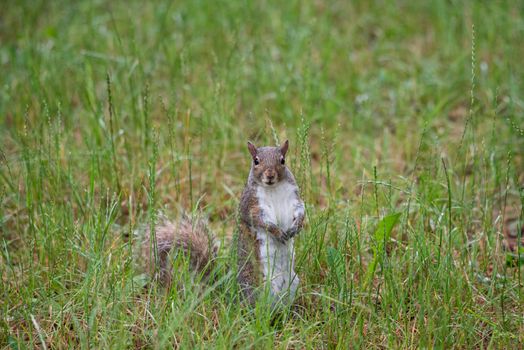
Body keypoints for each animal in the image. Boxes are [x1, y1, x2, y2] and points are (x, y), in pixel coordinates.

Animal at [139, 139, 304, 304]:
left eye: (282, 160)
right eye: (256, 161)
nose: (270, 175)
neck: (273, 188)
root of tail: (229, 291)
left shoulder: (294, 199)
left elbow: (301, 211)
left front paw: (296, 227)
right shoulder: (251, 206)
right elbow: (260, 220)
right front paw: (277, 231)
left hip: (293, 282)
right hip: (257, 286)